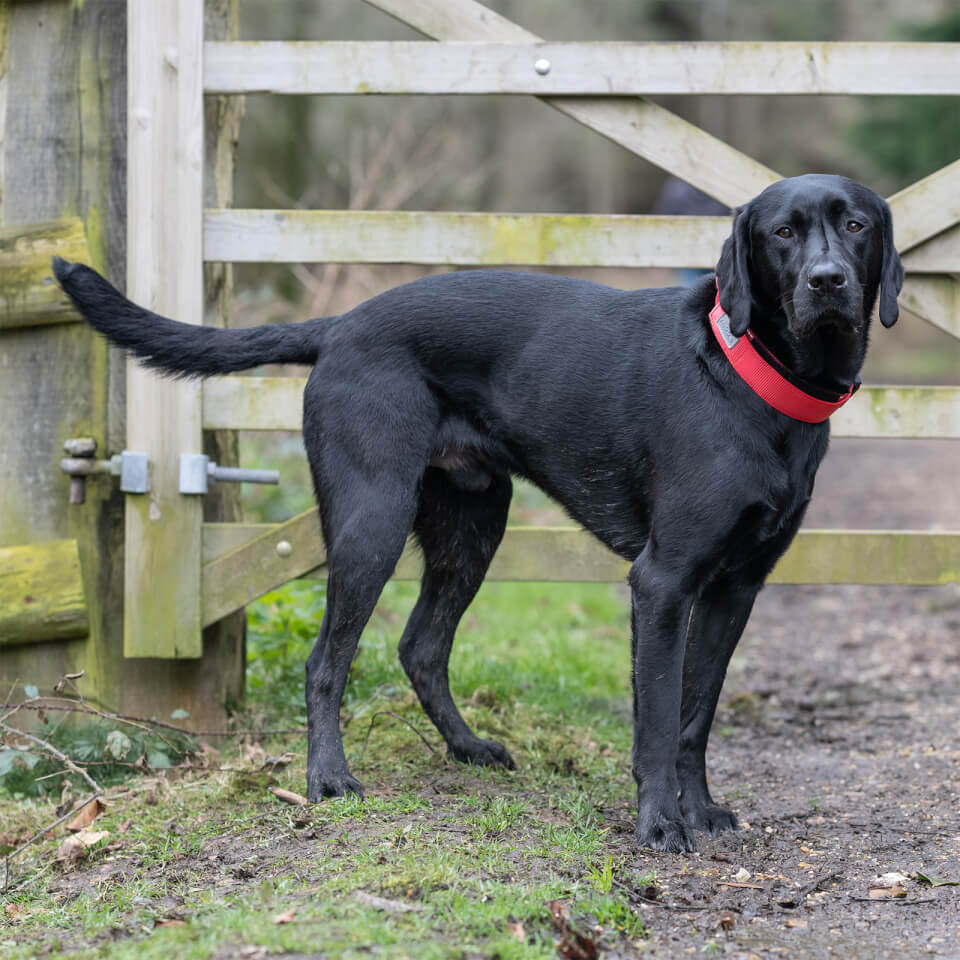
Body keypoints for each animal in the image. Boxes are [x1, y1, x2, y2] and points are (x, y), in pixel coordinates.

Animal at [52, 174, 904, 856]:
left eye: (856, 224)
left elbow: (697, 714)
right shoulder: (663, 583)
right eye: (782, 233)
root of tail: (339, 327)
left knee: (421, 648)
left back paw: (466, 750)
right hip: (371, 519)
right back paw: (330, 780)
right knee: (328, 661)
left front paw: (699, 811)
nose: (828, 280)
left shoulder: (735, 588)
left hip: (471, 528)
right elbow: (660, 719)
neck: (754, 380)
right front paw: (662, 823)